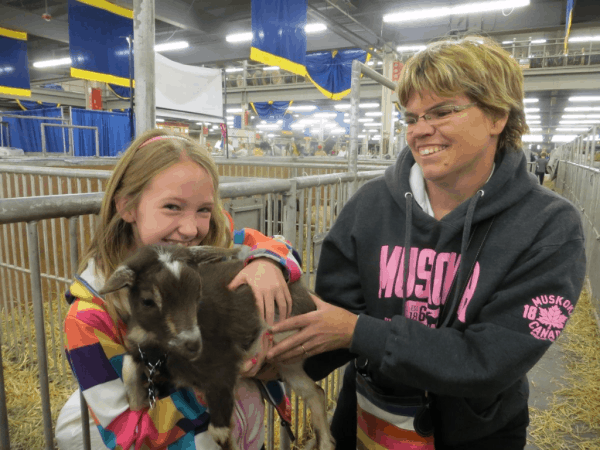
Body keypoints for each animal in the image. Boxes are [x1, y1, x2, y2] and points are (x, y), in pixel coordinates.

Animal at [98, 244, 332, 450]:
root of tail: (307, 295)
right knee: (315, 392)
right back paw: (326, 443)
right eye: (147, 301)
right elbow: (128, 370)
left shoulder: (222, 373)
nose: (193, 344)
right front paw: (139, 399)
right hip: (288, 361)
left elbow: (219, 433)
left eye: (198, 291)